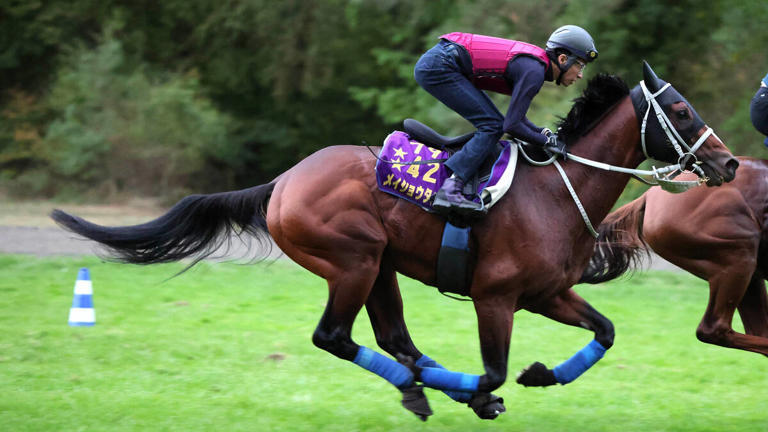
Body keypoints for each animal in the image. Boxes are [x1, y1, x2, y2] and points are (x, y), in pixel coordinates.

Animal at [51, 62, 738, 421]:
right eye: (681, 110)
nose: (729, 164)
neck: (556, 191)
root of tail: (283, 181)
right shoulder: (495, 297)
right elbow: (494, 366)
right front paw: (489, 391)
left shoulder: (545, 294)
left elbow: (605, 331)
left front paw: (542, 375)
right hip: (351, 261)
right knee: (336, 337)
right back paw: (439, 389)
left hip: (379, 266)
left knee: (394, 340)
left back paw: (422, 386)